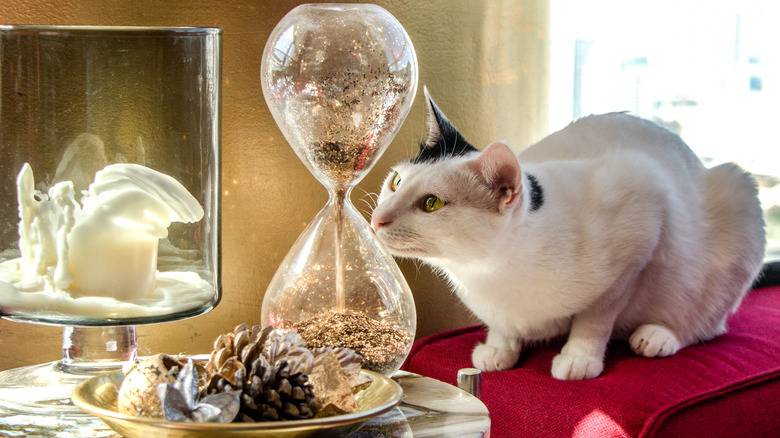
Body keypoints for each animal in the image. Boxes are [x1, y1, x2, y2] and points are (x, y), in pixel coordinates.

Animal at [368, 89, 764, 380]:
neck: (487, 272)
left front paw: (579, 358)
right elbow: (502, 325)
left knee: (706, 323)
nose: (376, 220)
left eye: (431, 203)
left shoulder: (640, 228)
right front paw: (500, 348)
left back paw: (658, 335)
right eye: (396, 181)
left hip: (738, 200)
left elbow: (597, 316)